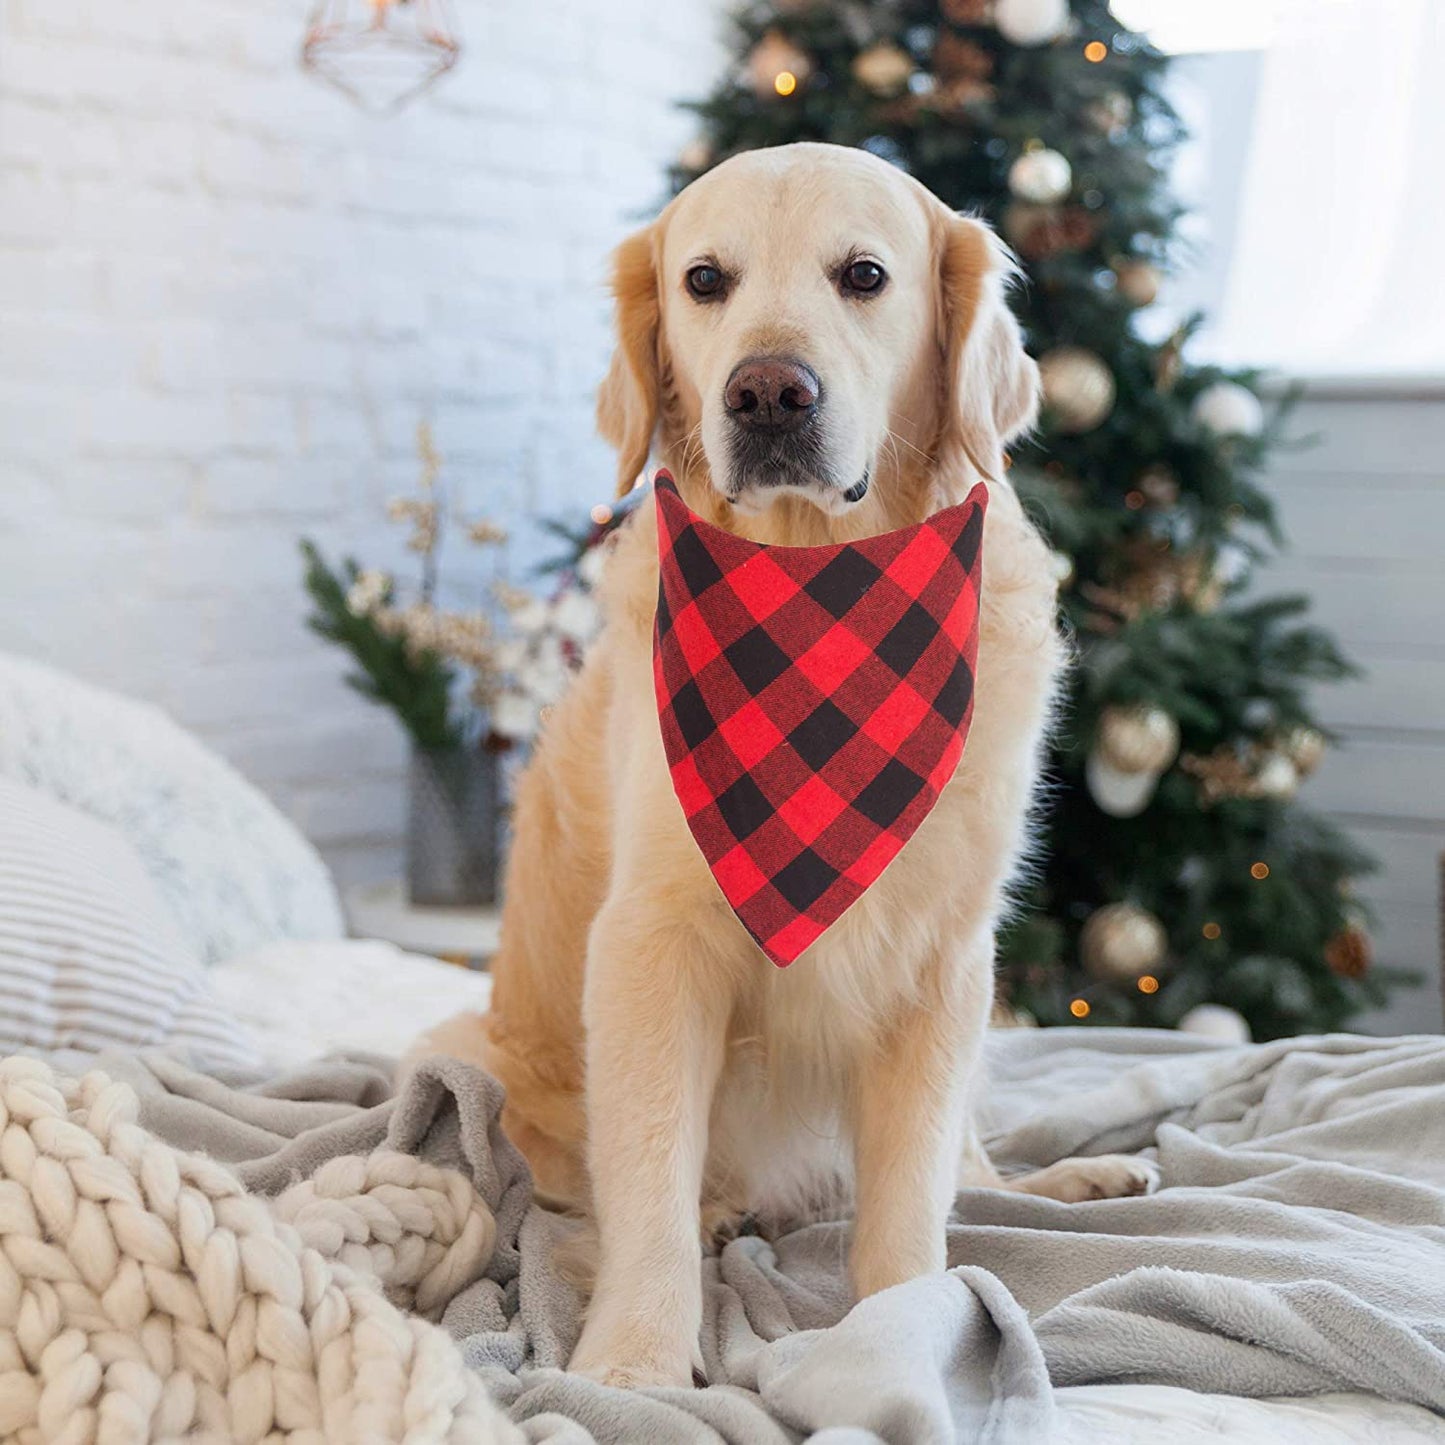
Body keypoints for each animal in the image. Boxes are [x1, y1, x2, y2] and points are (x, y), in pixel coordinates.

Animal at [416, 143, 1150, 1387]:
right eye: (703, 280)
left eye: (864, 275)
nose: (766, 393)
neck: (816, 587)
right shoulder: (652, 941)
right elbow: (649, 1176)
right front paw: (633, 1357)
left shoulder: (942, 956)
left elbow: (910, 1197)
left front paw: (906, 1329)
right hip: (472, 1044)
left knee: (972, 1165)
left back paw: (1069, 1178)